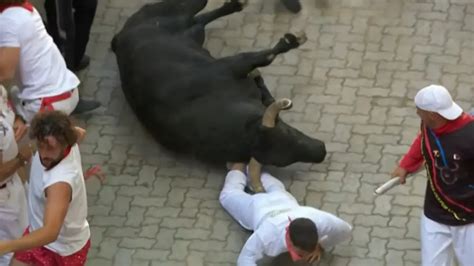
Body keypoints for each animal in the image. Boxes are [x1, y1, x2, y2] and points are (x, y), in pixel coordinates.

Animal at [111, 0, 328, 168]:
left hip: (189, 25)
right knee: (200, 11)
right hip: (182, 15)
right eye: (284, 159)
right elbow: (267, 57)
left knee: (202, 15)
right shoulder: (234, 65)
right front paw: (291, 41)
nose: (321, 151)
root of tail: (118, 38)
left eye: (289, 131)